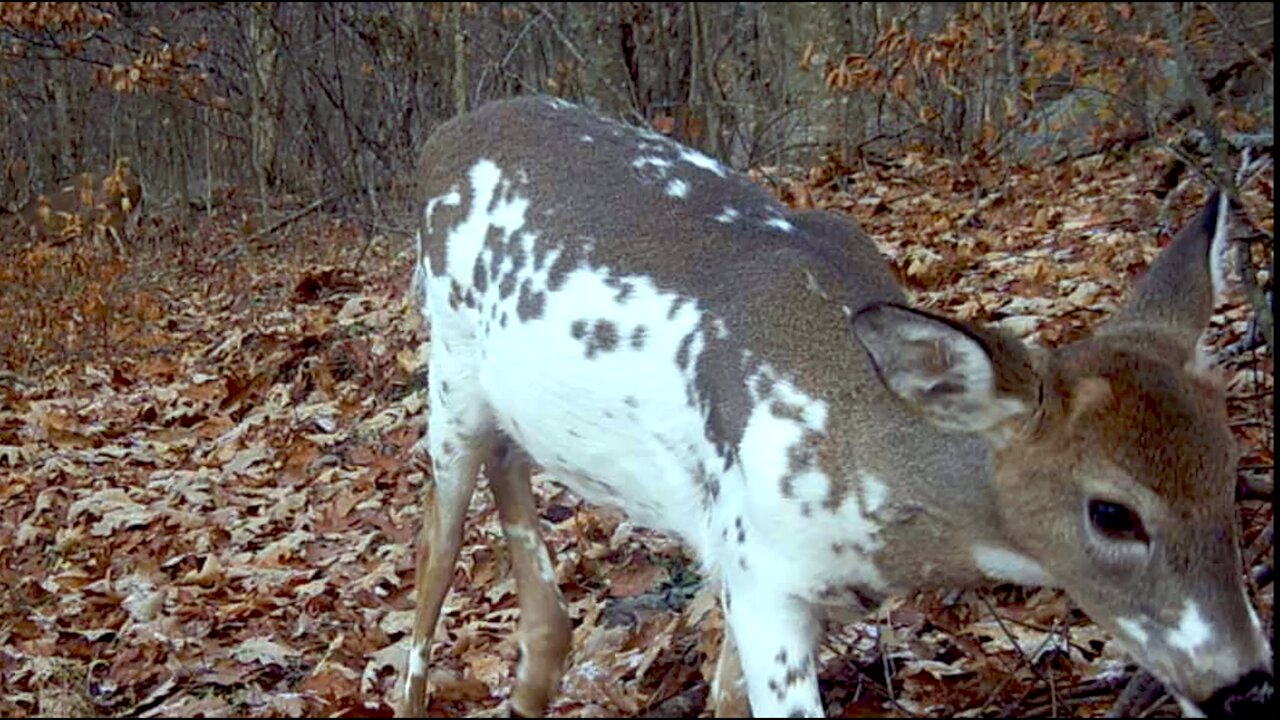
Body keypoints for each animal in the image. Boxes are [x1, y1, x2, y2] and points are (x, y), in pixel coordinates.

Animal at [407, 96, 1269, 717]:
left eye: (1231, 472)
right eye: (1111, 513)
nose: (1243, 683)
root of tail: (442, 135)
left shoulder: (756, 576)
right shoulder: (759, 570)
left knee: (532, 565)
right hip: (448, 378)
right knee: (427, 585)